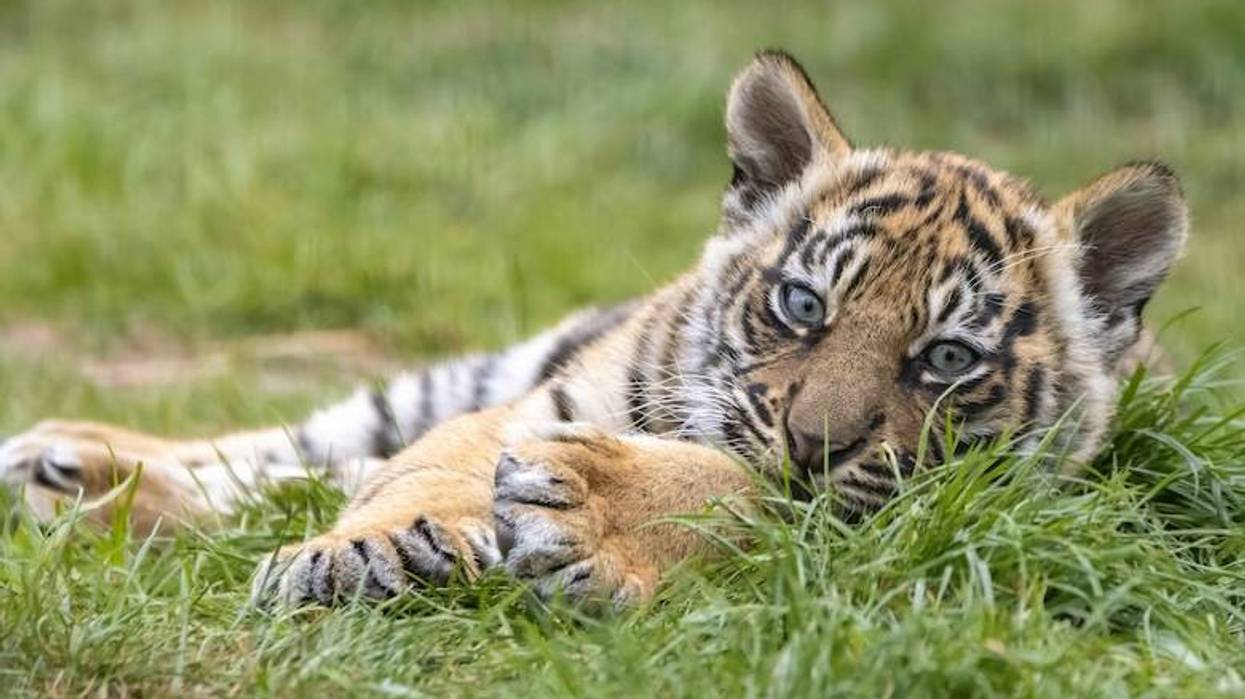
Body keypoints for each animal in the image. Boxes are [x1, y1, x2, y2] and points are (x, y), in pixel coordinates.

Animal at [0, 51, 1187, 607]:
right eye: (804, 305)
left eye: (944, 360)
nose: (815, 444)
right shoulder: (534, 401)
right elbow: (417, 470)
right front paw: (364, 555)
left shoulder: (917, 515)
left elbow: (739, 492)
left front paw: (593, 512)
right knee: (307, 444)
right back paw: (68, 460)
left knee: (300, 469)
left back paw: (78, 494)